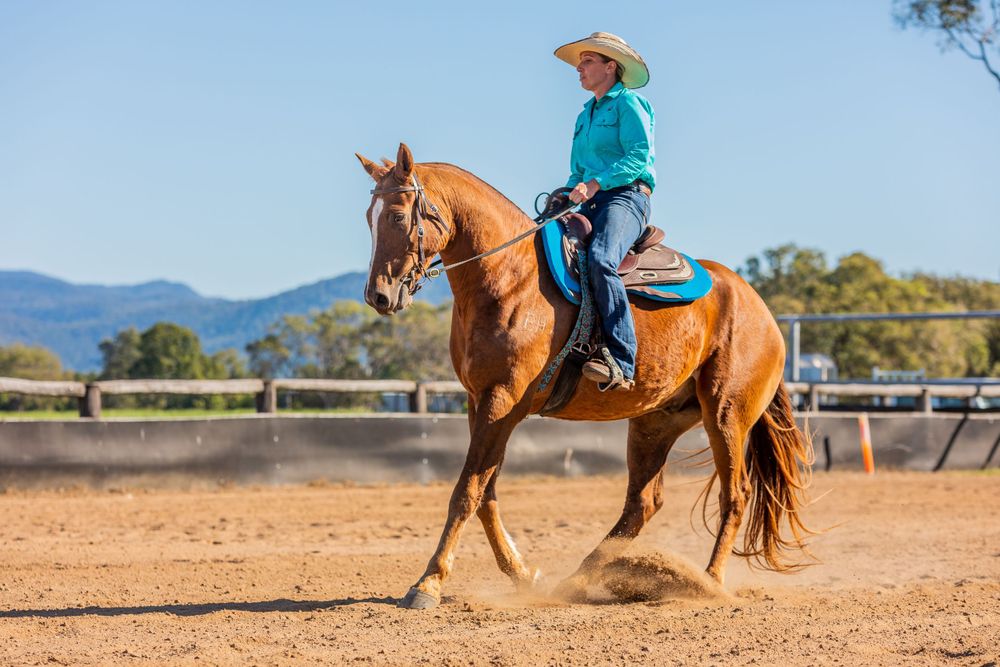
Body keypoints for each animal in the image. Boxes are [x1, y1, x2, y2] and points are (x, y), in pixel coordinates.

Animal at [356, 143, 813, 609]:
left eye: (397, 216)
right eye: (369, 218)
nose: (378, 296)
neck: (510, 277)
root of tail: (764, 312)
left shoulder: (502, 401)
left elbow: (466, 493)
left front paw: (428, 582)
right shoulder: (479, 401)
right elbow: (486, 495)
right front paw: (522, 574)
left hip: (726, 415)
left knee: (734, 496)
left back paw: (709, 581)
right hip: (656, 421)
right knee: (642, 504)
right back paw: (576, 581)